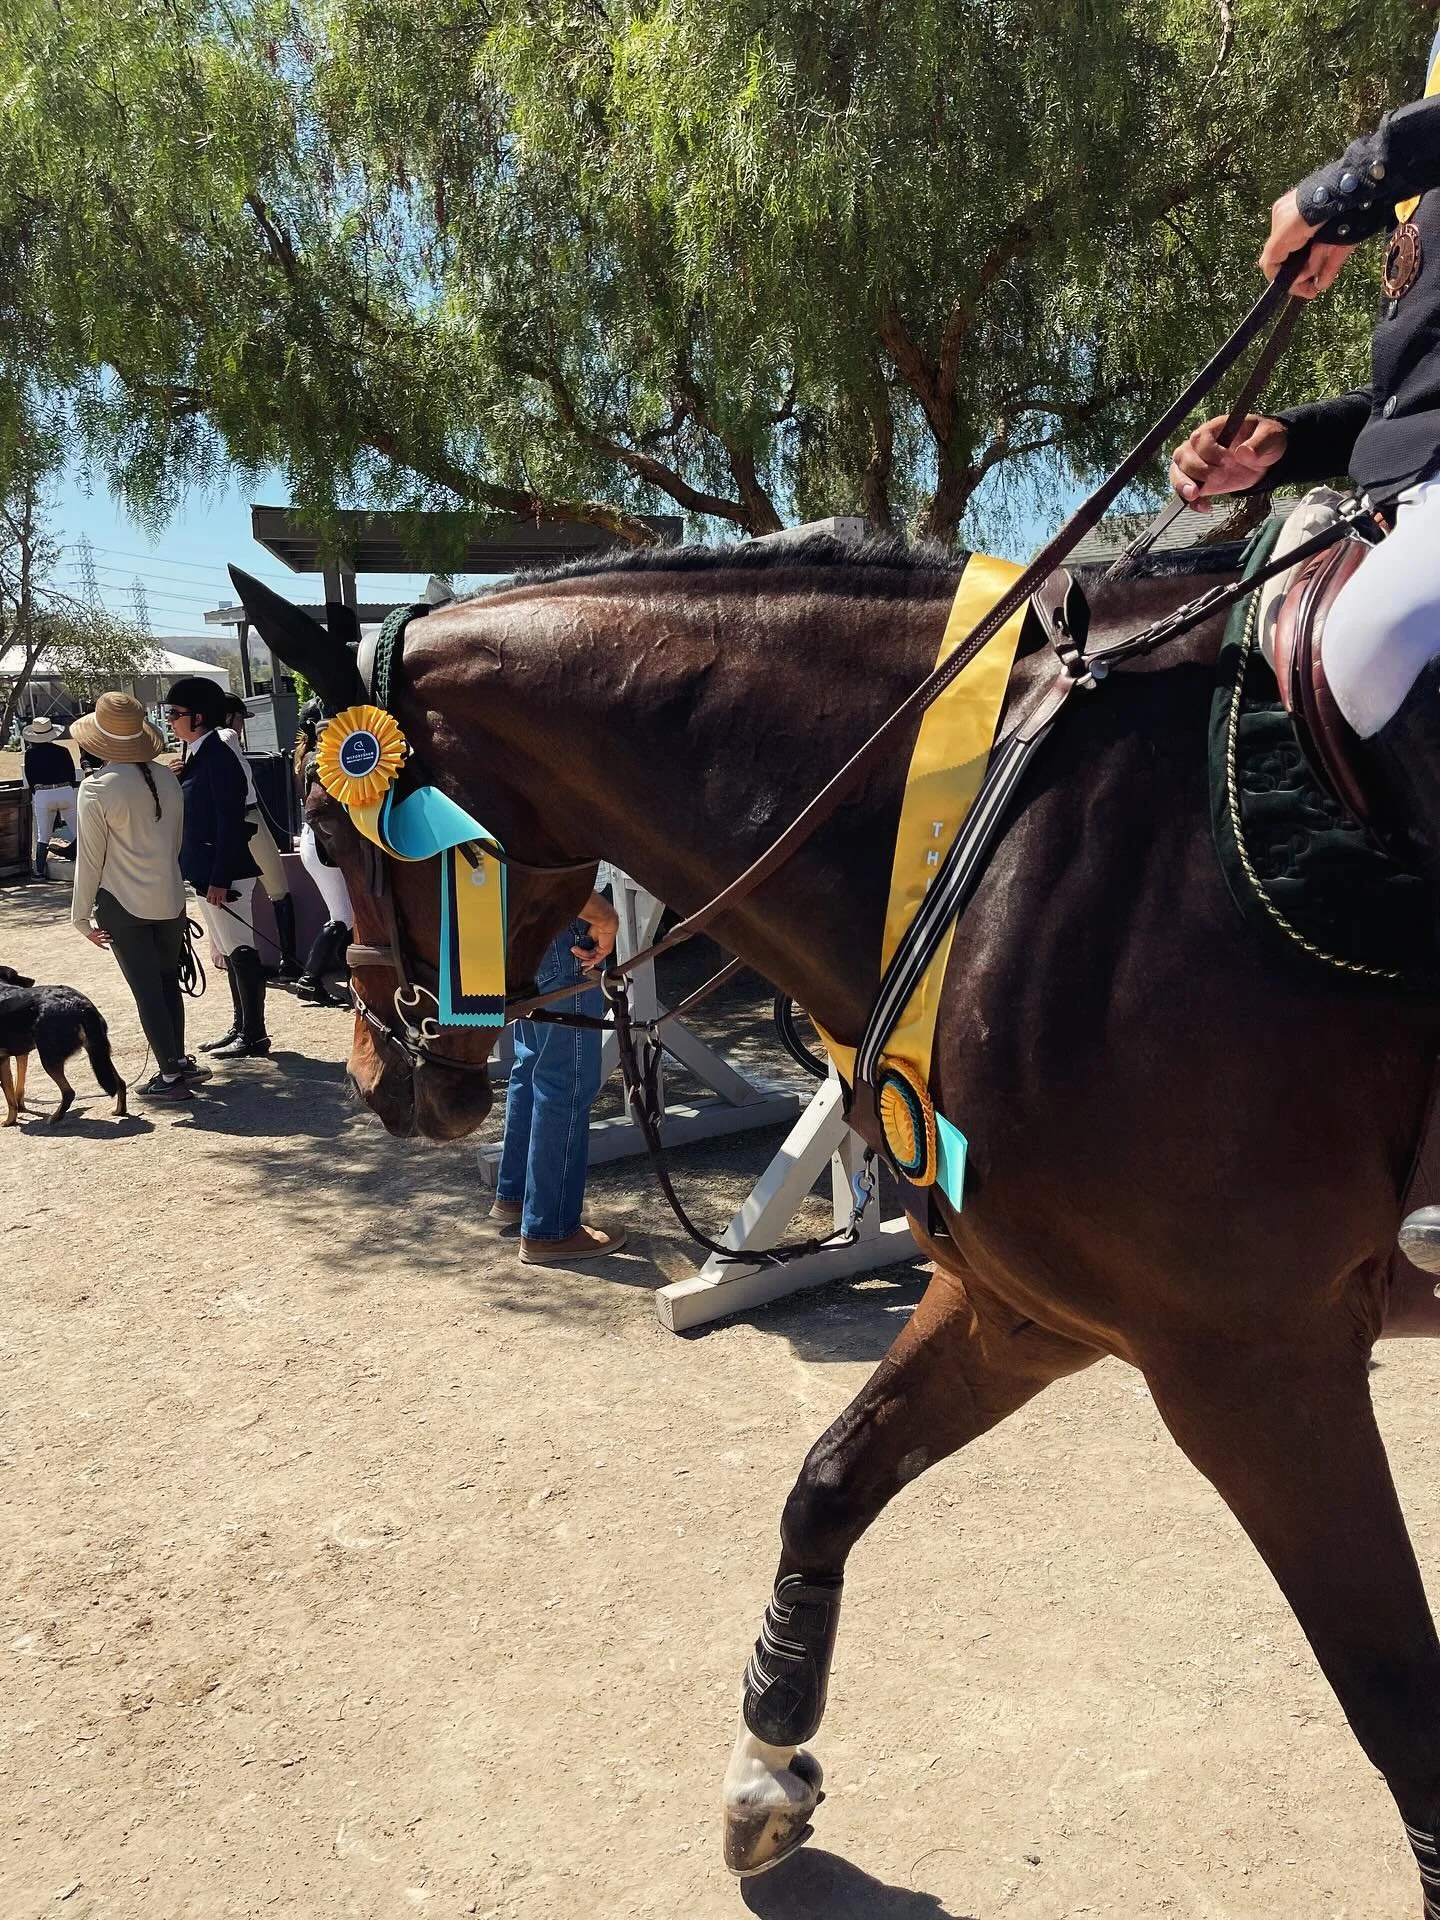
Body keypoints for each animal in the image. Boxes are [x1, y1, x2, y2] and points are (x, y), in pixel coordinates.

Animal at [234, 534, 1440, 1911]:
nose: (379, 1081)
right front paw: (764, 1778)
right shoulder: (1023, 1312)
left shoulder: (1257, 1372)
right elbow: (827, 1487)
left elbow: (1401, 1705)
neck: (1007, 847)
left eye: (331, 819)